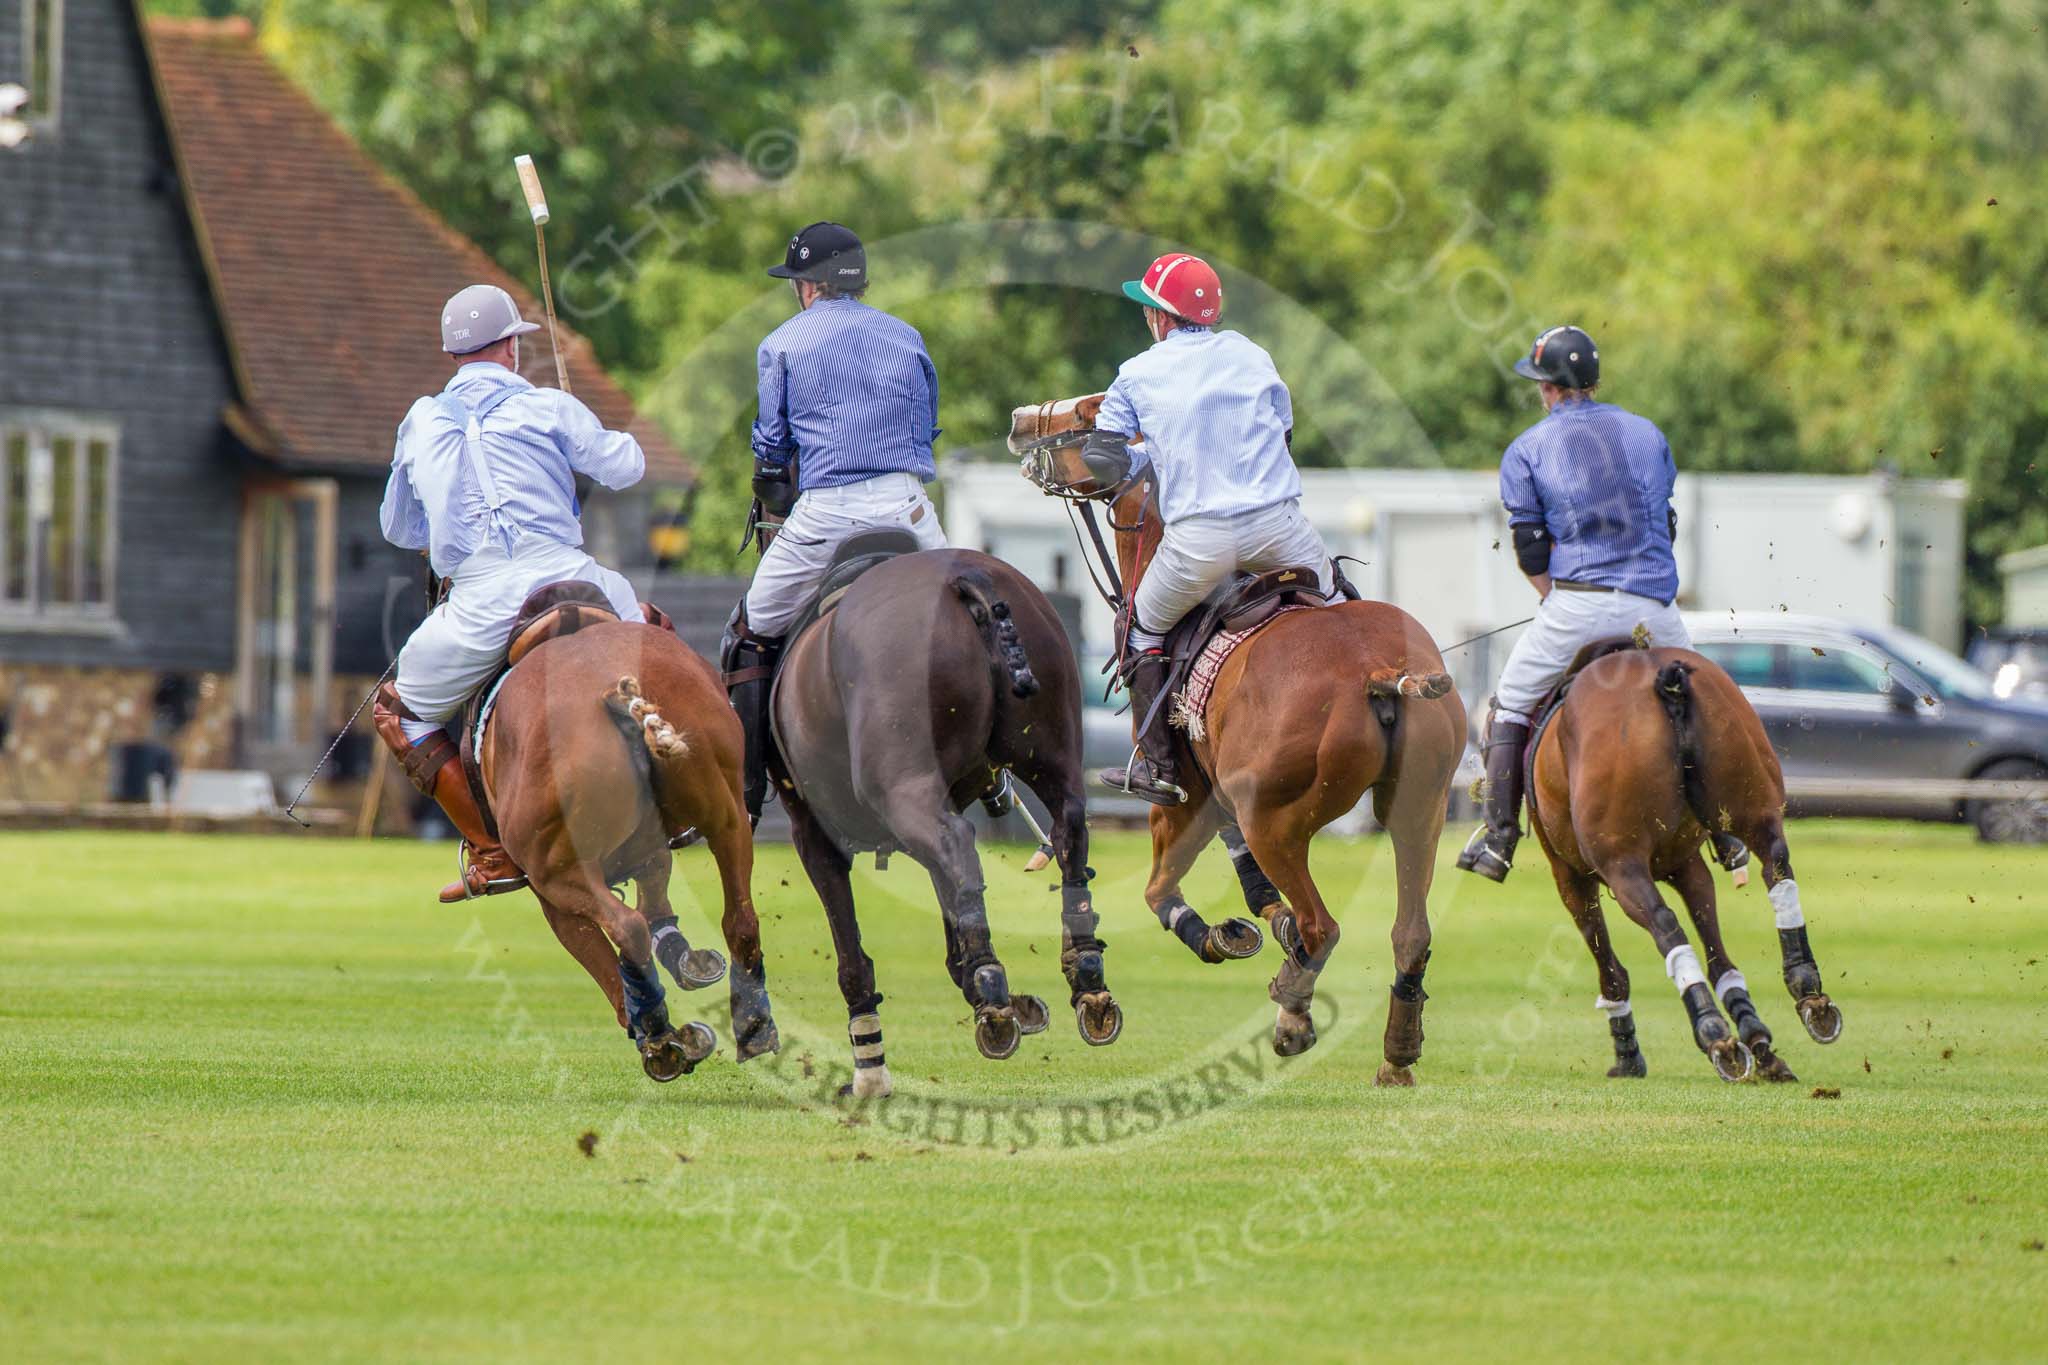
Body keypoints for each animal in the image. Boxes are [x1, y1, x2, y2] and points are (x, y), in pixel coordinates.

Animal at [475, 618, 778, 1080]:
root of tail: (612, 692)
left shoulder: (550, 896)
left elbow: (601, 956)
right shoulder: (650, 851)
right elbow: (657, 902)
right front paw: (689, 962)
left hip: (557, 871)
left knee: (627, 927)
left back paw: (660, 1040)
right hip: (728, 813)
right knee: (739, 917)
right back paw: (754, 1027)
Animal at [770, 544, 1122, 1096]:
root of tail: (967, 576)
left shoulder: (812, 829)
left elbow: (851, 952)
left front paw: (869, 1070)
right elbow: (949, 895)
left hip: (905, 784)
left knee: (958, 845)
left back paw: (992, 988)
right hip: (1052, 752)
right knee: (1066, 830)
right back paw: (1084, 973)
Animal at [1011, 394, 1466, 1088]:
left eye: (1086, 413)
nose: (1019, 423)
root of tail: (1380, 671)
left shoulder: (1185, 799)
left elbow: (1158, 890)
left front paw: (1218, 935)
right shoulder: (1220, 790)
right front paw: (1261, 924)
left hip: (1276, 819)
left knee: (1323, 925)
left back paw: (1292, 1015)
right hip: (1423, 808)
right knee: (1409, 932)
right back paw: (1397, 1053)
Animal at [1531, 646, 1851, 1080]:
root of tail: (1667, 679)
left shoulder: (1571, 875)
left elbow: (1610, 968)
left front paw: (1628, 1055)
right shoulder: (1685, 863)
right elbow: (1713, 939)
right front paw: (1756, 1036)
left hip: (1620, 862)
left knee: (1661, 920)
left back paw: (1712, 1032)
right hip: (1750, 794)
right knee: (1777, 867)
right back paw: (1807, 993)